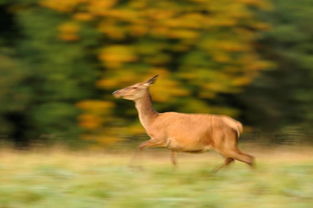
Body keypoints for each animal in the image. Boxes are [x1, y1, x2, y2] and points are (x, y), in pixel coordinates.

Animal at [112, 75, 254, 171]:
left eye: (135, 87)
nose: (116, 92)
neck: (152, 122)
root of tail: (237, 125)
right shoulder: (173, 146)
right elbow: (174, 162)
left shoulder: (161, 138)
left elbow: (140, 145)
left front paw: (135, 167)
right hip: (228, 144)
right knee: (235, 159)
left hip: (223, 143)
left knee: (246, 158)